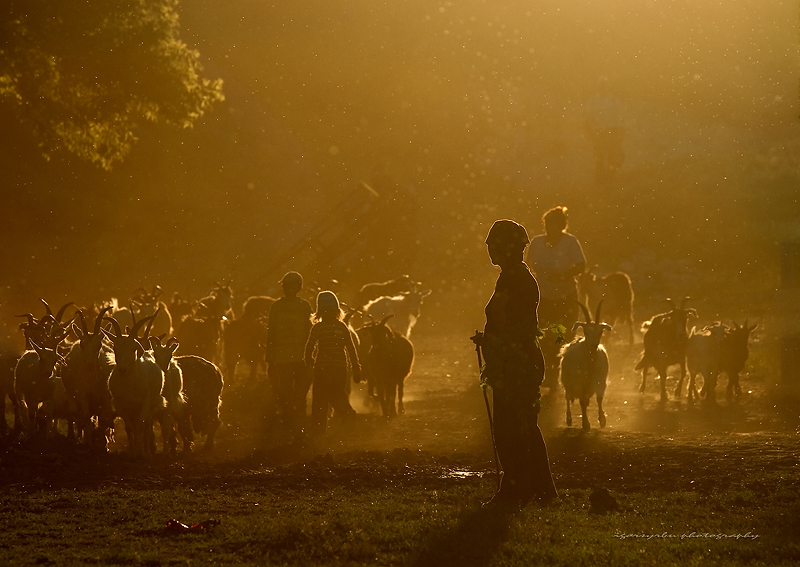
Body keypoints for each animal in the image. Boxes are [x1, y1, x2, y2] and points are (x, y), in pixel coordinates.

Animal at [556, 302, 612, 430]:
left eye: (600, 332)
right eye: (586, 331)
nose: (593, 345)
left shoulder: (600, 382)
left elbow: (599, 399)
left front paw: (602, 420)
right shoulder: (579, 383)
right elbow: (581, 401)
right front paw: (586, 423)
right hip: (567, 382)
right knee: (568, 397)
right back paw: (569, 419)